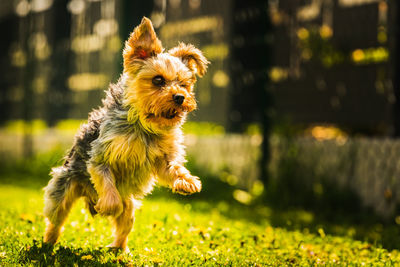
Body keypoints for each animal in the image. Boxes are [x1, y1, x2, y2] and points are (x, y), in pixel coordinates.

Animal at [43, 17, 209, 252]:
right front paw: (107, 206)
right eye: (158, 80)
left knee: (125, 222)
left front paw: (187, 181)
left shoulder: (163, 158)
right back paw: (48, 243)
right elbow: (108, 187)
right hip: (63, 188)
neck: (145, 126)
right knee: (56, 219)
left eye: (184, 84)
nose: (180, 97)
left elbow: (173, 169)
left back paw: (119, 250)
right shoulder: (101, 158)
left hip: (130, 208)